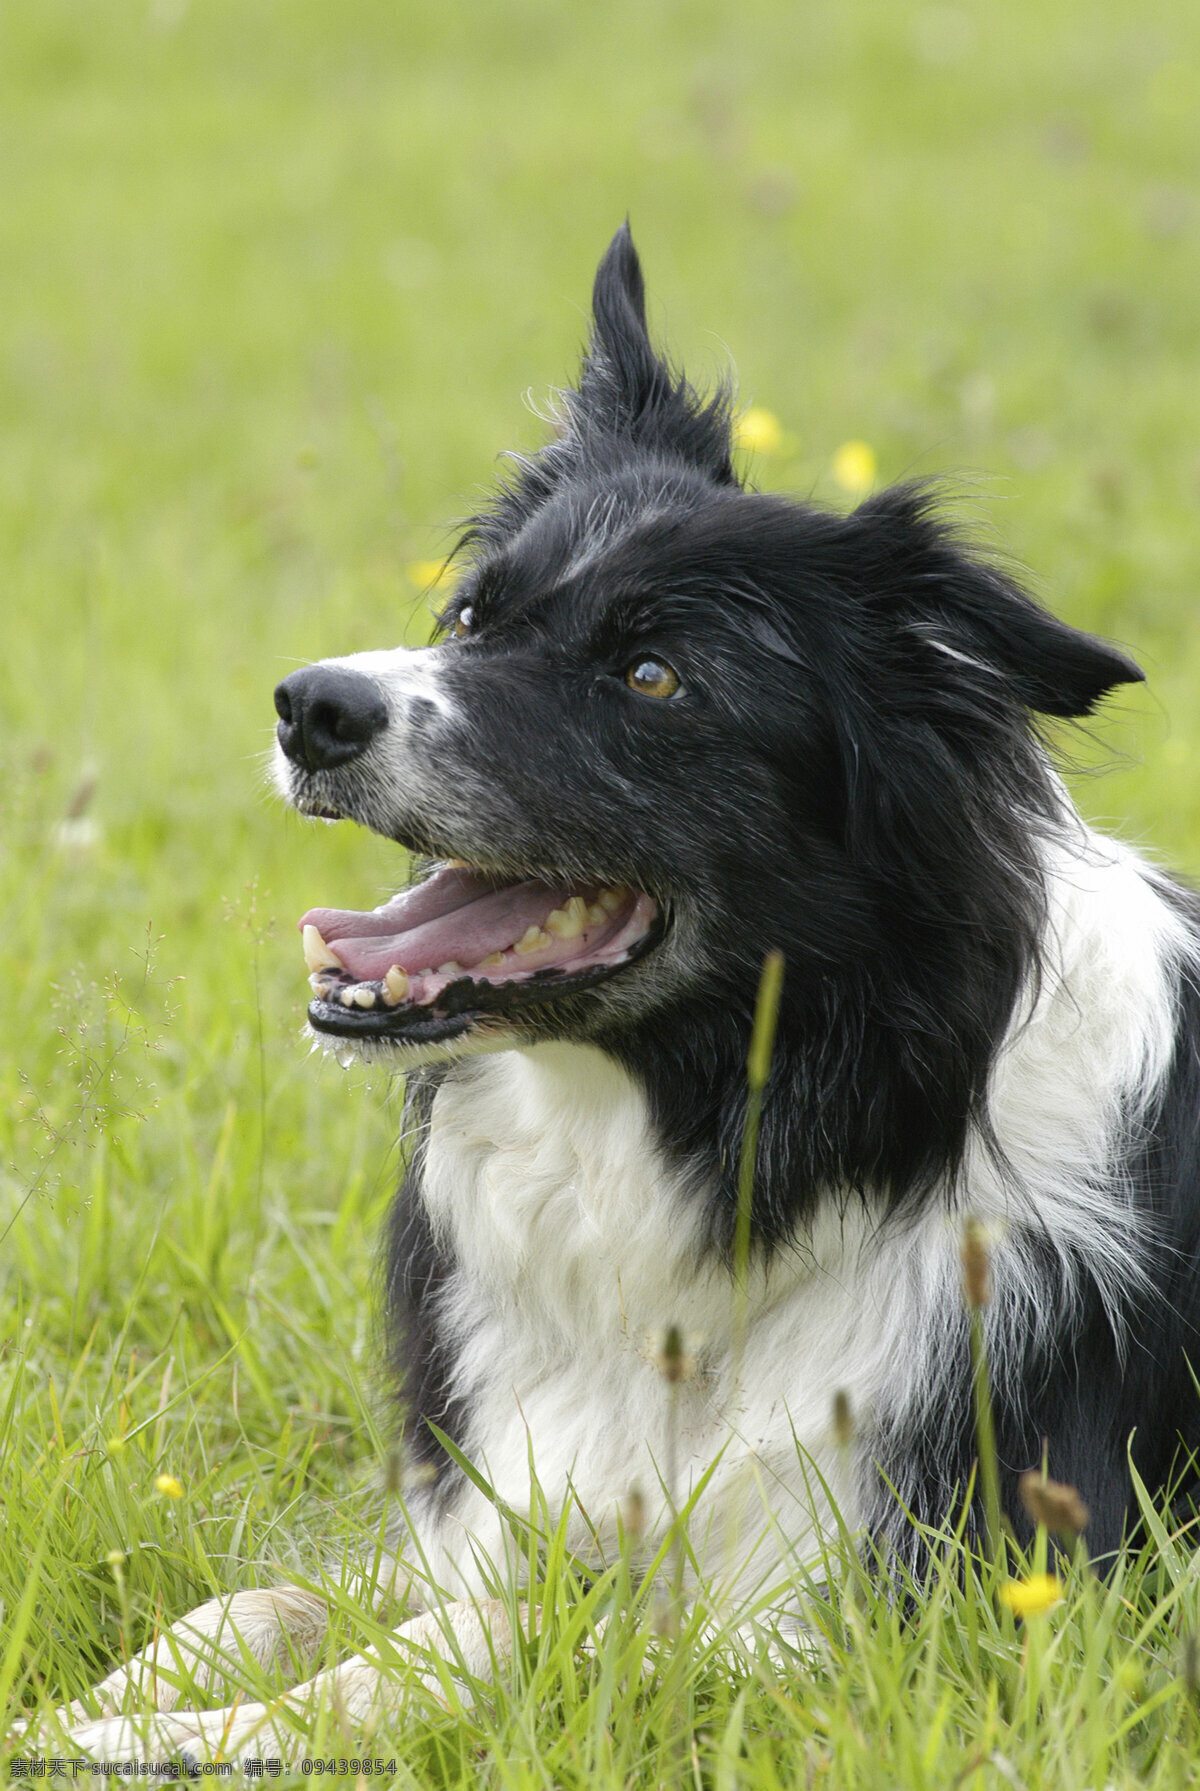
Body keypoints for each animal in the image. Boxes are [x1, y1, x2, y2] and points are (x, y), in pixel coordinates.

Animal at [63, 223, 1200, 1762]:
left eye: (654, 676)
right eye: (471, 613)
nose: (311, 706)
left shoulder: (867, 1619)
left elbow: (458, 1652)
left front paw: (166, 1738)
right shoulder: (505, 1502)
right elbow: (267, 1600)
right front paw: (109, 1694)